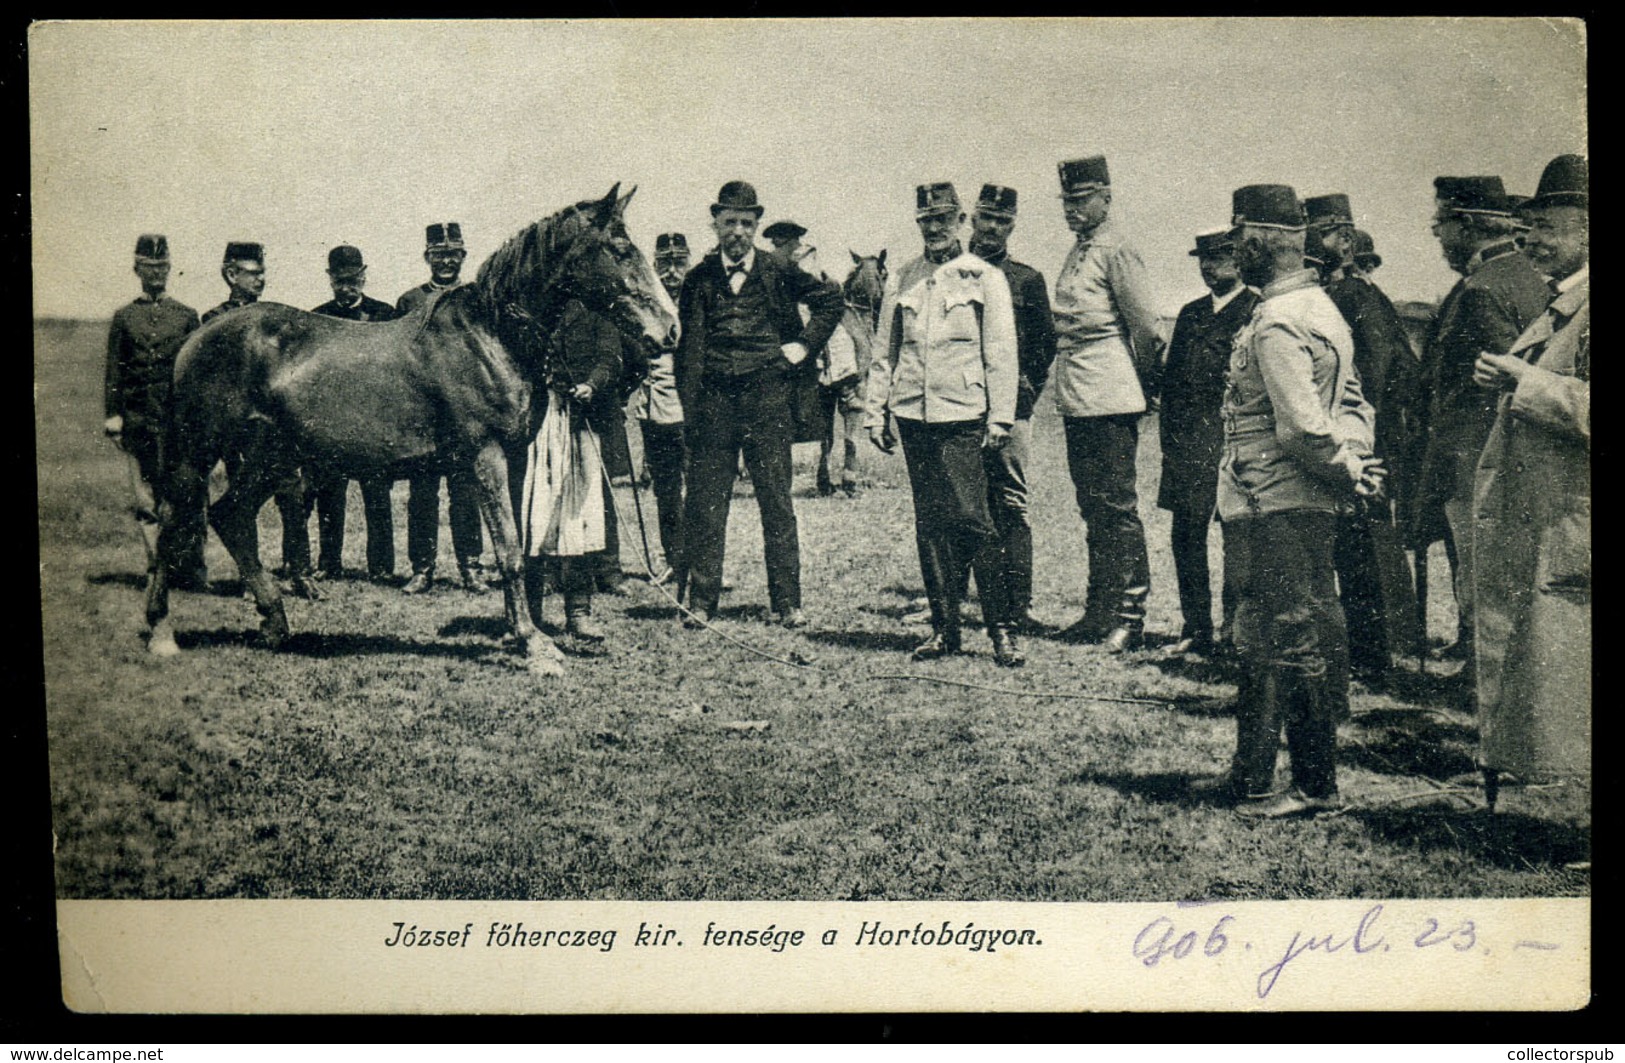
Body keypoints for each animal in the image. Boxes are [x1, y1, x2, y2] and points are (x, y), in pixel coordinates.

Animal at [139, 186, 672, 679]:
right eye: (621, 249)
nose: (667, 329)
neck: (491, 336)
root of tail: (196, 338)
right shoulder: (487, 456)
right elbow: (508, 551)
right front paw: (535, 646)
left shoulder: (518, 456)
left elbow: (520, 548)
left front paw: (522, 632)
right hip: (199, 451)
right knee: (172, 524)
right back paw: (160, 630)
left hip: (269, 457)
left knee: (229, 515)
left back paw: (275, 622)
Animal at [812, 251, 890, 497]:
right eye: (885, 274)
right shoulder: (856, 389)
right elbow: (850, 437)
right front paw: (849, 483)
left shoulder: (825, 394)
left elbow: (827, 438)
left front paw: (825, 483)